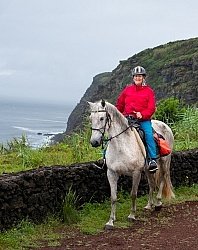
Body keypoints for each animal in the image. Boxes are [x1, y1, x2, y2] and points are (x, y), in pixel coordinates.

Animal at [88, 99, 175, 230]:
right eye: (91, 118)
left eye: (102, 118)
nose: (94, 142)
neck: (121, 146)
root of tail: (165, 125)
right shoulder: (111, 173)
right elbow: (113, 197)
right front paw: (110, 221)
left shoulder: (136, 173)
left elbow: (133, 194)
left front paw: (131, 215)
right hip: (148, 169)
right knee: (152, 183)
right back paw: (149, 205)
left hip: (164, 162)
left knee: (162, 179)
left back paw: (158, 203)